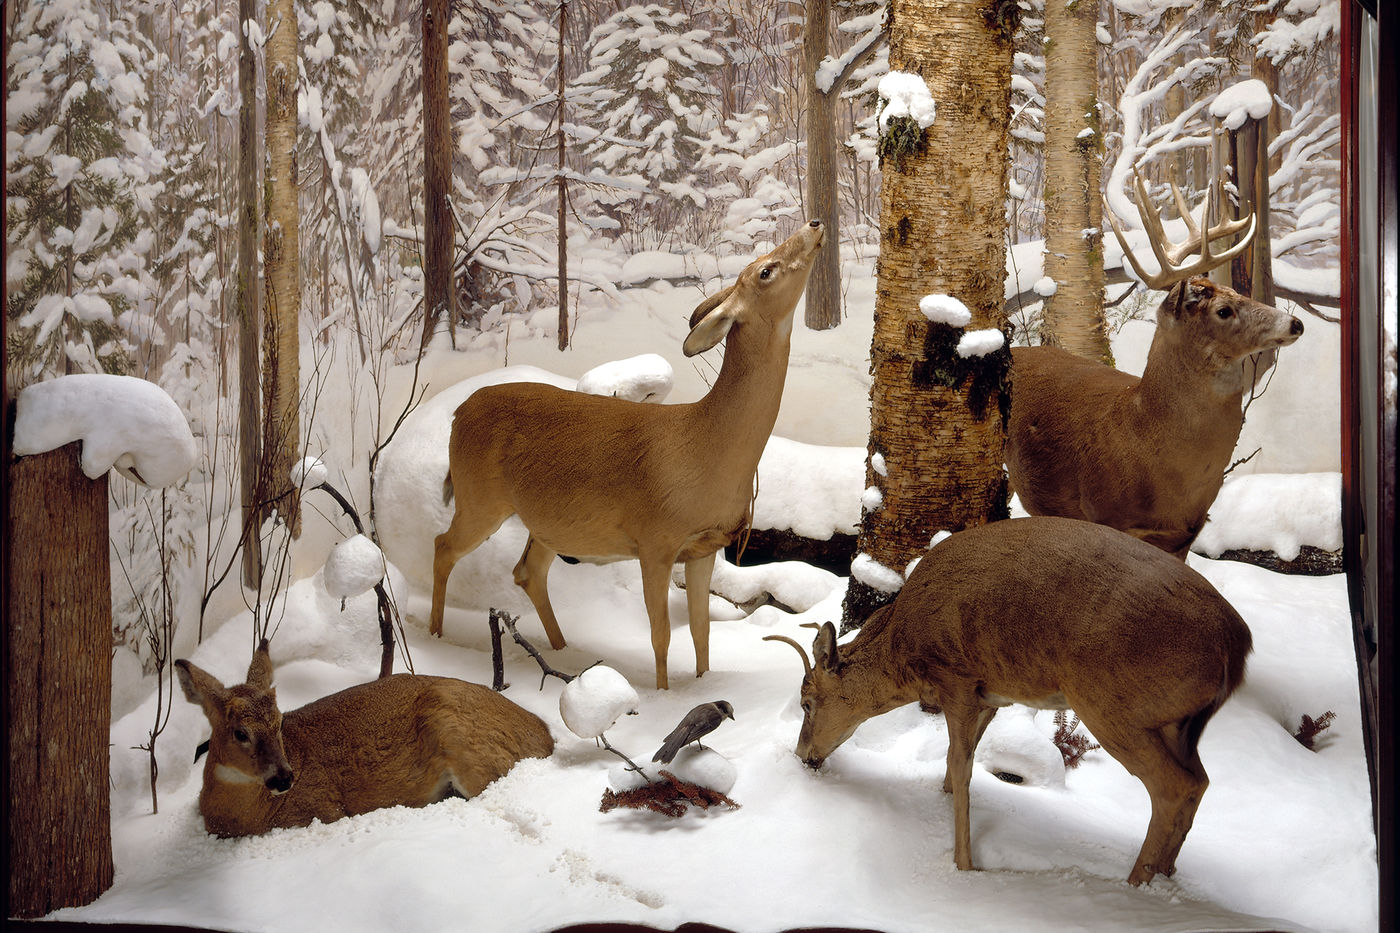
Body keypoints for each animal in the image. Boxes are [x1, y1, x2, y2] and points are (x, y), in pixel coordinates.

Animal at [175, 641, 554, 837]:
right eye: (240, 732)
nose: (284, 778)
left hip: (459, 735)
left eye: (279, 722)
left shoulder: (324, 809)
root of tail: (546, 737)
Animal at [765, 516, 1252, 886]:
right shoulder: (991, 694)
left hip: (1112, 706)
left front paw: (963, 865)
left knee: (1174, 786)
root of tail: (1237, 647)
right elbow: (961, 762)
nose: (803, 755)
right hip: (1177, 724)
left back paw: (1135, 885)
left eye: (807, 701)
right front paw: (941, 798)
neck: (905, 651)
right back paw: (1166, 875)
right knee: (1200, 781)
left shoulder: (957, 678)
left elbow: (962, 766)